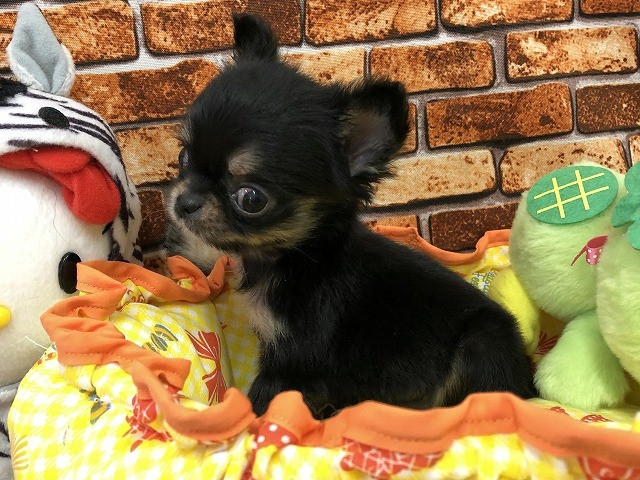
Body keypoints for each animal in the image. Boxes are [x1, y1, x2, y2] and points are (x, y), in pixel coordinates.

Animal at [166, 13, 537, 418]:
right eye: (184, 156)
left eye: (250, 198)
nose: (184, 202)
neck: (294, 258)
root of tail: (528, 382)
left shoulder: (291, 363)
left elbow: (263, 404)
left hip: (481, 344)